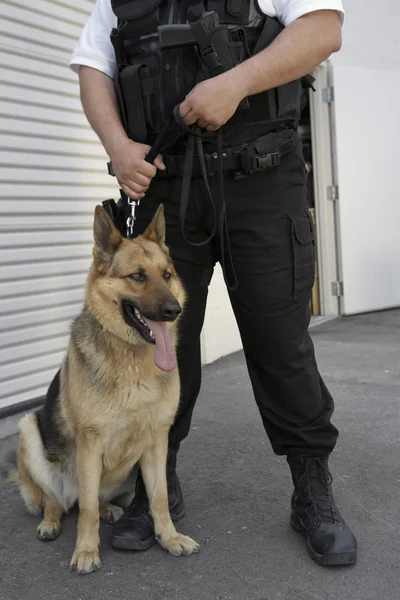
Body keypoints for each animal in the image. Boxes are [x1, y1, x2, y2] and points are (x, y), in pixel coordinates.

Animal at [14, 205, 198, 572]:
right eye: (138, 276)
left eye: (166, 274)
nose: (174, 310)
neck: (133, 361)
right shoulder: (90, 441)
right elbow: (85, 512)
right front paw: (86, 551)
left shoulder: (157, 439)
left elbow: (158, 498)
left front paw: (169, 538)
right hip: (30, 431)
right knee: (60, 500)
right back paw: (50, 522)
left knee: (91, 499)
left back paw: (109, 509)